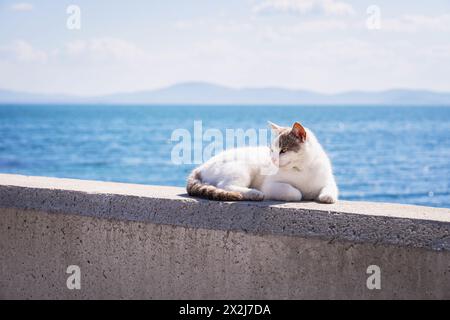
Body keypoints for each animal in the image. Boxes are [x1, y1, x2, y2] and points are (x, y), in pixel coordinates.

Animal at [186, 121, 338, 204]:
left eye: (283, 150)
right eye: (272, 150)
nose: (273, 160)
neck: (302, 168)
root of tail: (201, 167)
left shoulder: (327, 180)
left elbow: (330, 189)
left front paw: (326, 196)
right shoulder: (270, 186)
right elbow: (296, 193)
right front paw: (300, 193)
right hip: (242, 168)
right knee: (225, 185)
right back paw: (253, 193)